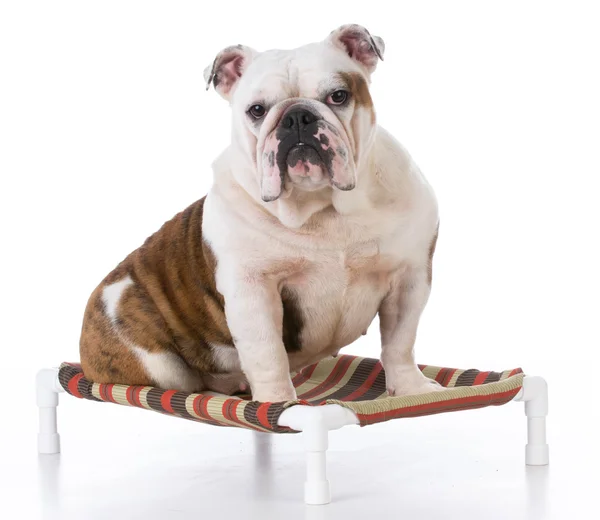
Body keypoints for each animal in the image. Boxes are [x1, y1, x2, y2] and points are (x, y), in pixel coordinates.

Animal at [79, 24, 440, 402]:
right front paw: (278, 403)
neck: (321, 206)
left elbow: (400, 341)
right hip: (155, 359)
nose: (297, 116)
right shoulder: (252, 290)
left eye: (339, 96)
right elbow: (268, 353)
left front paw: (412, 388)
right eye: (256, 110)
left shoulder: (409, 277)